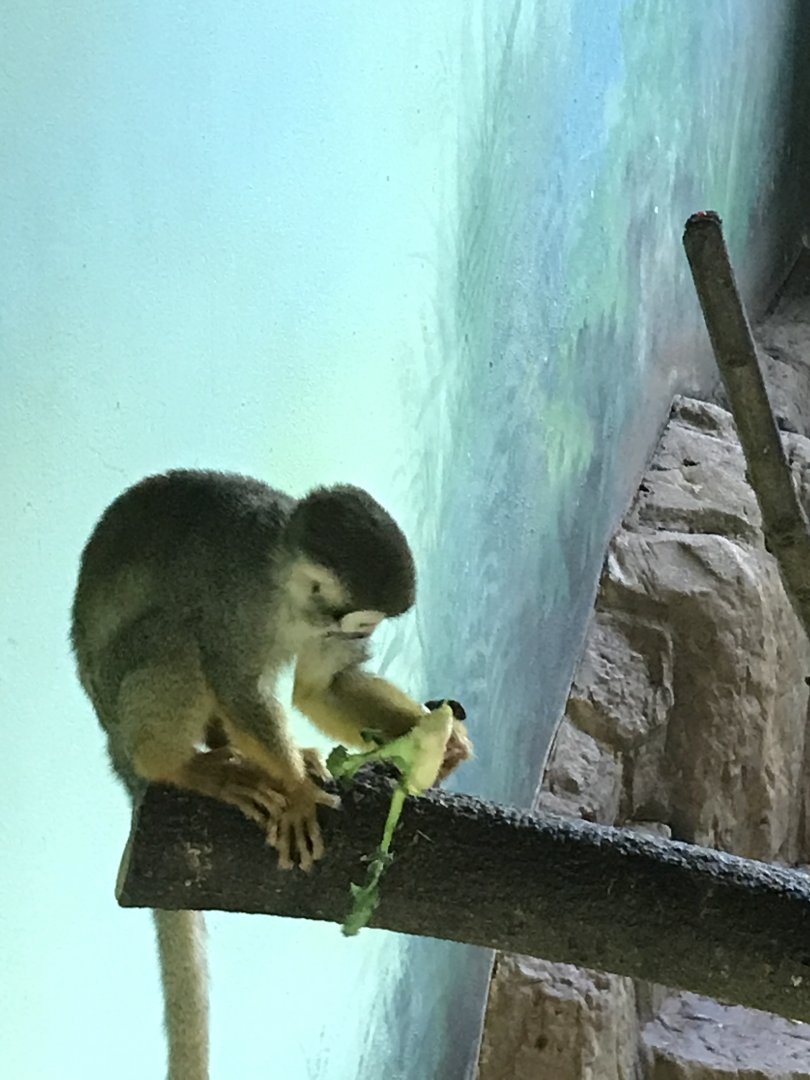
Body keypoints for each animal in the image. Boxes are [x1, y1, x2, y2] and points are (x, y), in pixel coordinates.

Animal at [70, 468, 470, 1080]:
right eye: (362, 623)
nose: (359, 640)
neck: (283, 585)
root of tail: (114, 745)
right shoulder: (240, 602)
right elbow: (235, 681)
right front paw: (301, 793)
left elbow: (323, 686)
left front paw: (437, 740)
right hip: (123, 696)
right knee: (180, 635)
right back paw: (182, 764)